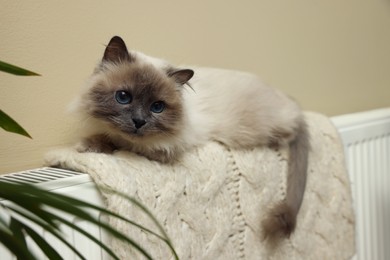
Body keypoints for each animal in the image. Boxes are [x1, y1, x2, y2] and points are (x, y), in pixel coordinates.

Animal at [71, 35, 310, 245]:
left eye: (157, 107)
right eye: (123, 97)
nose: (138, 121)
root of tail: (285, 98)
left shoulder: (161, 148)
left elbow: (120, 142)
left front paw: (89, 146)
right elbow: (106, 135)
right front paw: (88, 145)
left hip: (255, 129)